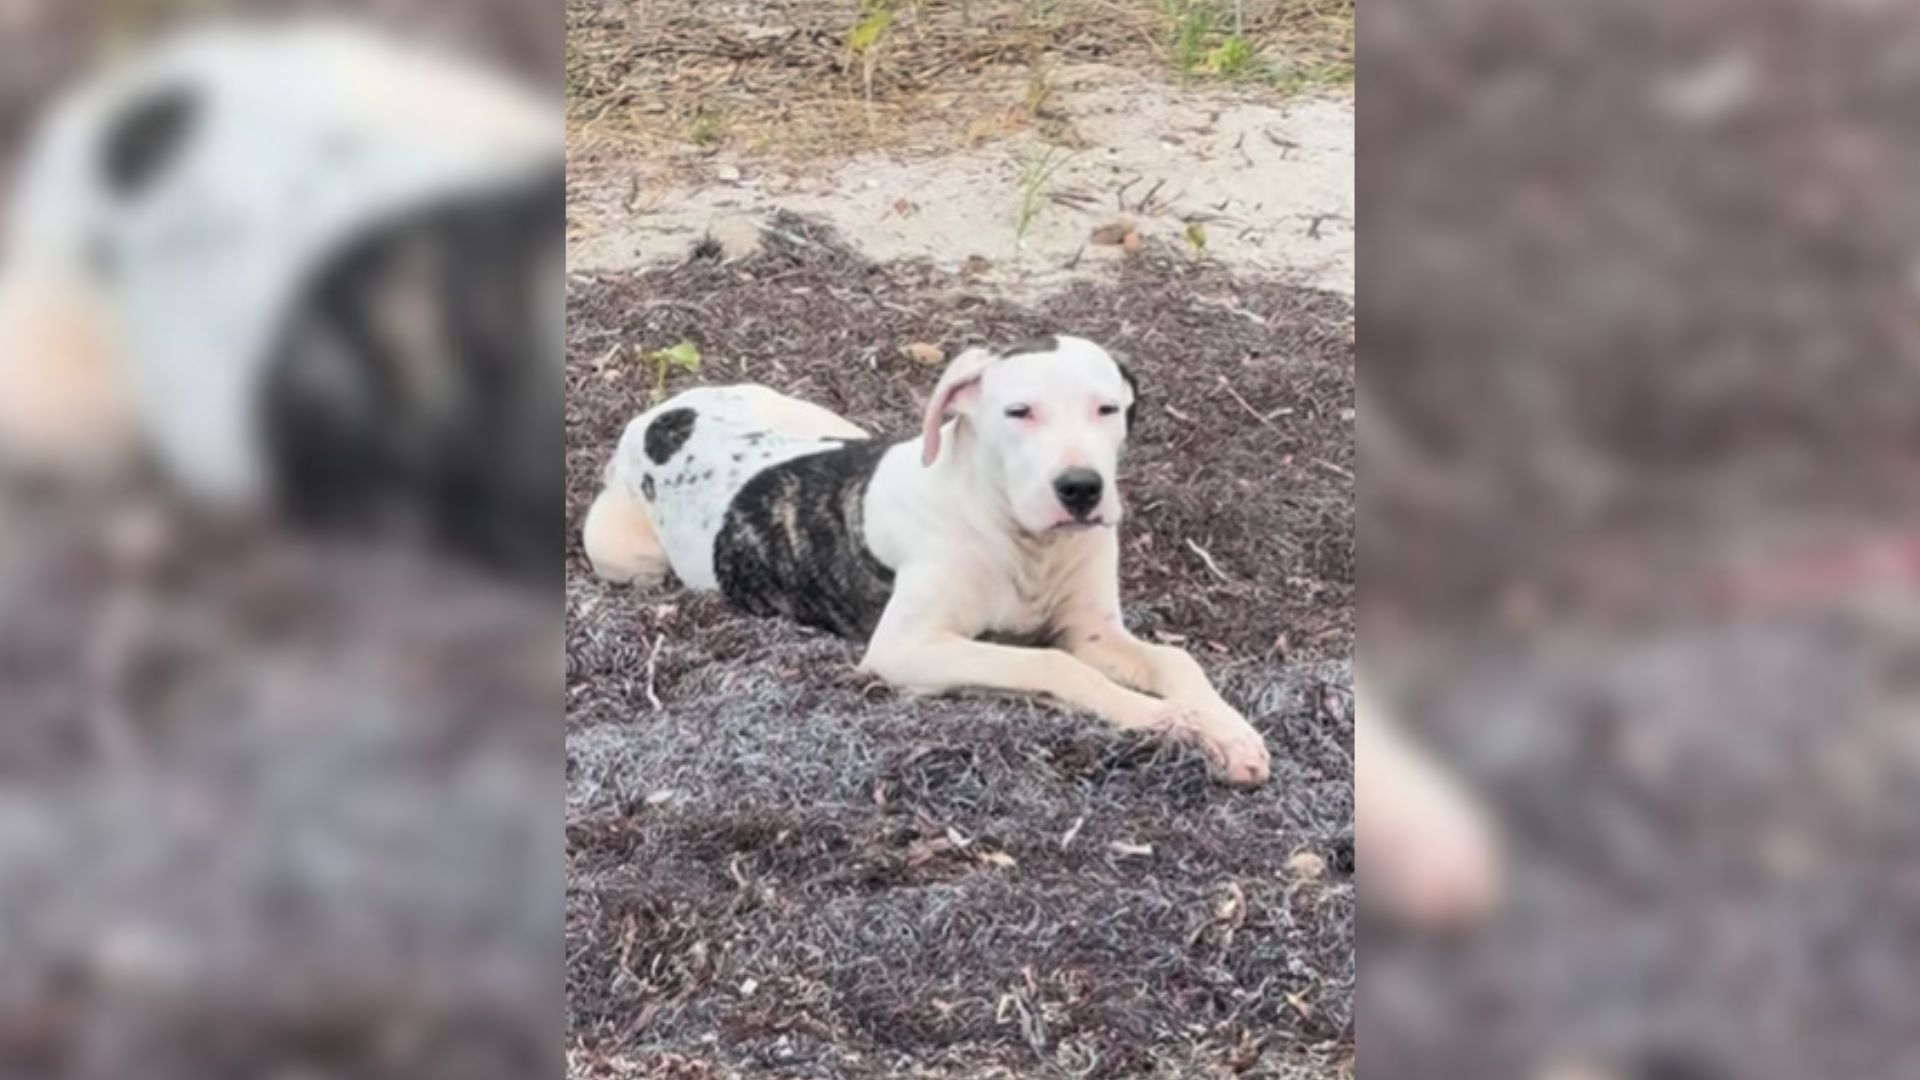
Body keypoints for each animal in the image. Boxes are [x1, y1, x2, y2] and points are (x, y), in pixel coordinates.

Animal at [583, 332, 1274, 776]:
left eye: (1108, 408)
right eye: (1018, 411)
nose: (1080, 488)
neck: (1018, 536)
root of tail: (662, 413)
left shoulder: (1095, 631)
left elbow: (1177, 660)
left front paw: (1226, 730)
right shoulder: (906, 648)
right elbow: (1056, 666)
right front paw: (1169, 723)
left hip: (827, 422)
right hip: (617, 549)